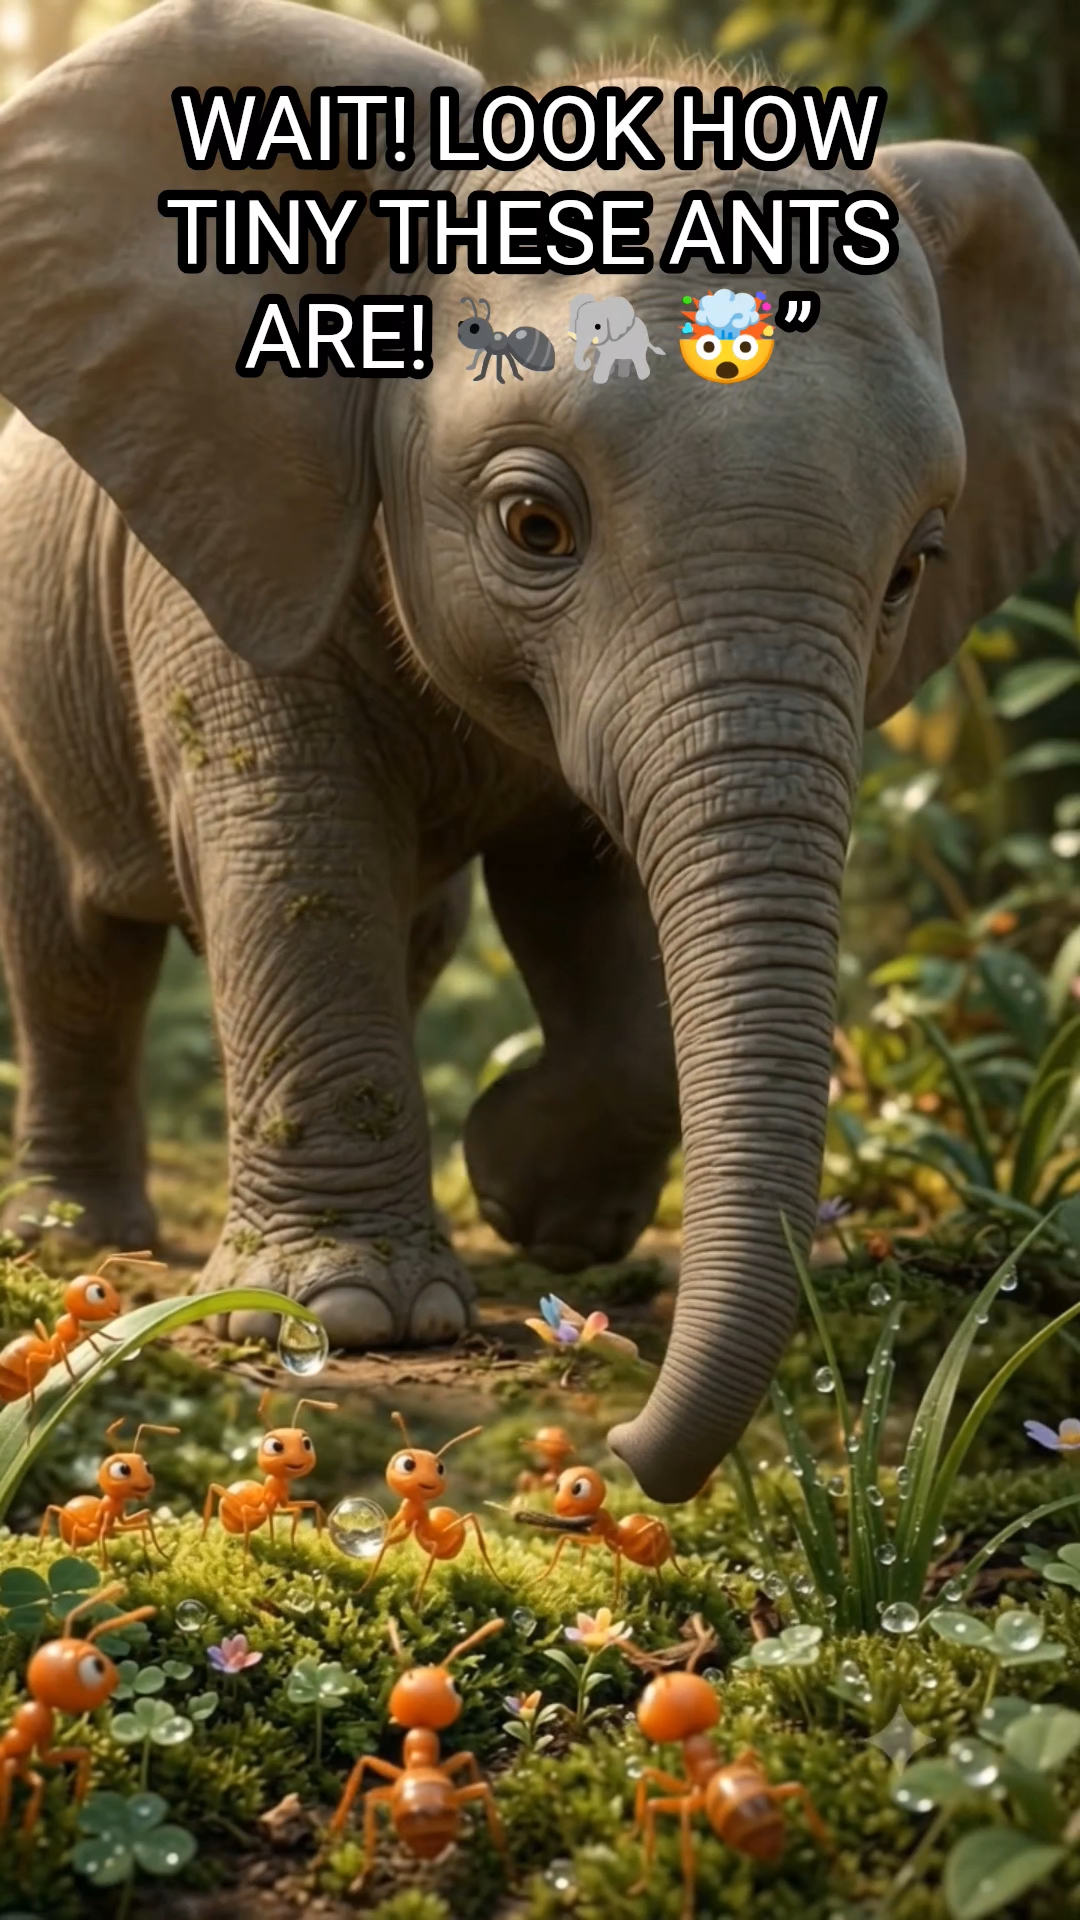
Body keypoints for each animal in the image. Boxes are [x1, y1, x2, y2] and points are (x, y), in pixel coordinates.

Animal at [0, 0, 1077, 1504]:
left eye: (915, 570)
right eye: (533, 525)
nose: (619, 1451)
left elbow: (591, 895)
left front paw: (535, 1210)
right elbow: (295, 852)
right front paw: (353, 1317)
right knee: (76, 954)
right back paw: (75, 1238)